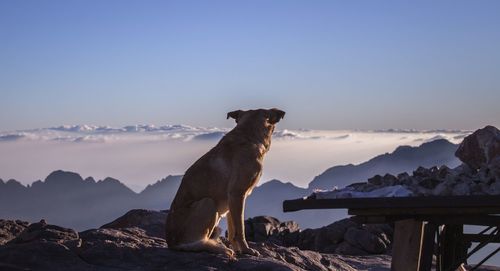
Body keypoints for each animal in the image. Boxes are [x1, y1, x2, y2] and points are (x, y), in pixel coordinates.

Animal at [165, 108, 286, 258]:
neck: (248, 135)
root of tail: (171, 243)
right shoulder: (237, 194)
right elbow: (240, 229)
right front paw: (246, 250)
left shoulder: (231, 201)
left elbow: (233, 230)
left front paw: (238, 249)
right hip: (208, 203)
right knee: (193, 243)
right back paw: (218, 248)